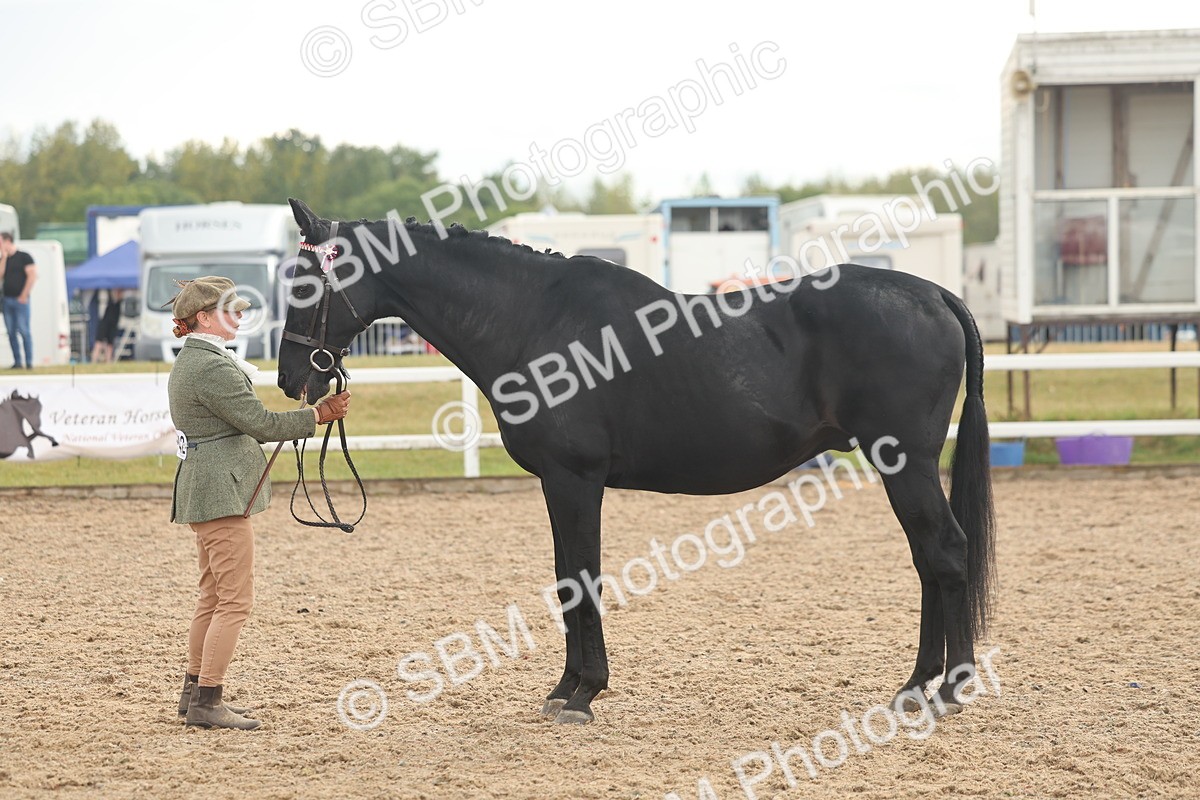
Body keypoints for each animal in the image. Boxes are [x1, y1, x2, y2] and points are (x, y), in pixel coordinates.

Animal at [276, 198, 996, 725]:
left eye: (307, 281)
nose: (289, 379)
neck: (534, 321)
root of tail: (935, 296)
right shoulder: (558, 485)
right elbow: (566, 579)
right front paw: (564, 687)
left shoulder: (575, 480)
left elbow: (582, 579)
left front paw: (585, 693)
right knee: (927, 561)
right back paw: (917, 685)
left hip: (905, 463)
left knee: (945, 554)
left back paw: (947, 688)